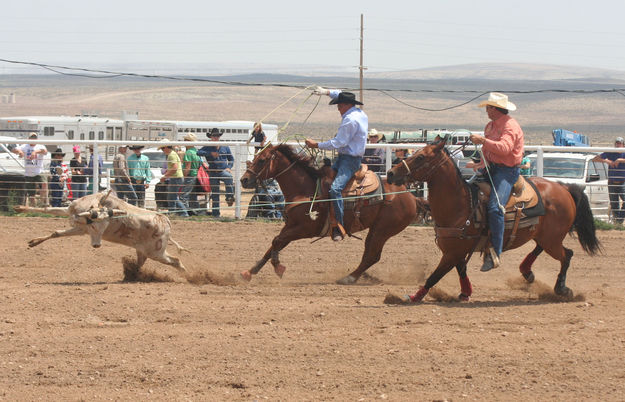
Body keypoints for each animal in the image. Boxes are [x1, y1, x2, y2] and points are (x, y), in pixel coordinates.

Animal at [241, 144, 416, 282]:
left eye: (262, 160)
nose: (244, 179)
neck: (305, 190)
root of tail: (410, 196)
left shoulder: (305, 229)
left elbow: (277, 241)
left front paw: (278, 266)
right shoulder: (290, 226)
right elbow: (275, 243)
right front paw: (249, 272)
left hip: (382, 230)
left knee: (371, 256)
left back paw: (349, 278)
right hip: (377, 230)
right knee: (371, 255)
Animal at [386, 141, 600, 302]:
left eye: (421, 157)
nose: (390, 173)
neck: (461, 204)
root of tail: (564, 188)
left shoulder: (452, 252)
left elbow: (434, 276)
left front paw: (413, 297)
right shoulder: (456, 250)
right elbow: (461, 269)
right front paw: (465, 293)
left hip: (552, 239)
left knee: (567, 255)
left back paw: (562, 289)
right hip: (546, 236)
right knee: (543, 249)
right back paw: (527, 272)